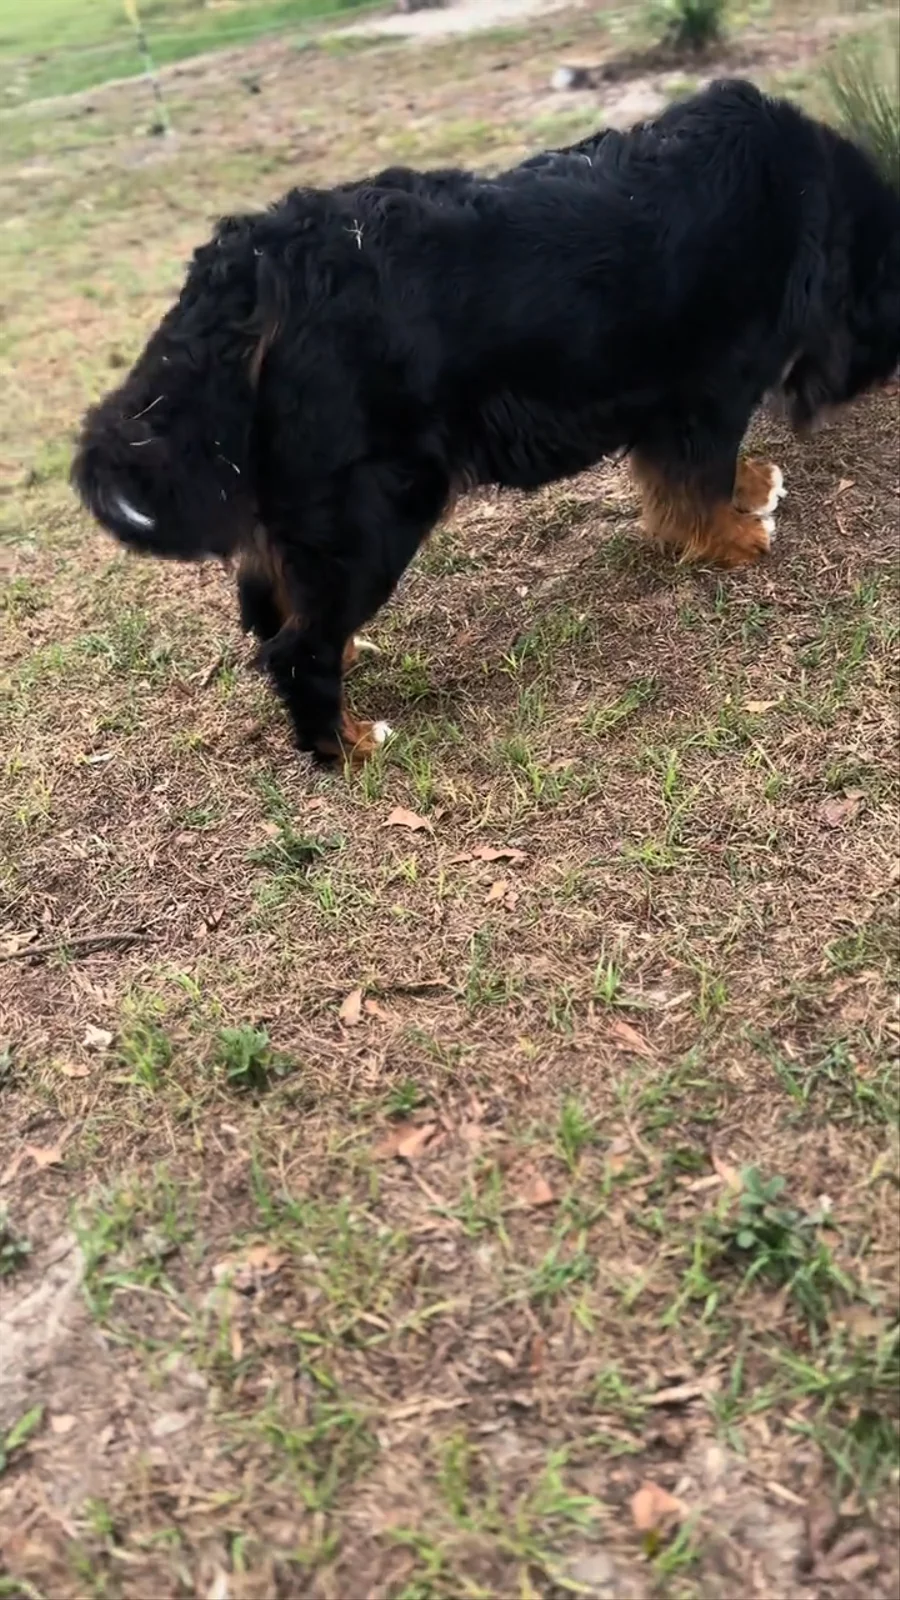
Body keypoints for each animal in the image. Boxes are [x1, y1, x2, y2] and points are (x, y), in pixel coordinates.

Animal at [72, 79, 900, 762]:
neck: (807, 196)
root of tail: (255, 263)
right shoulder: (709, 389)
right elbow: (699, 480)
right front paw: (734, 536)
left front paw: (751, 489)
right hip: (381, 500)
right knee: (296, 649)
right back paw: (348, 744)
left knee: (272, 603)